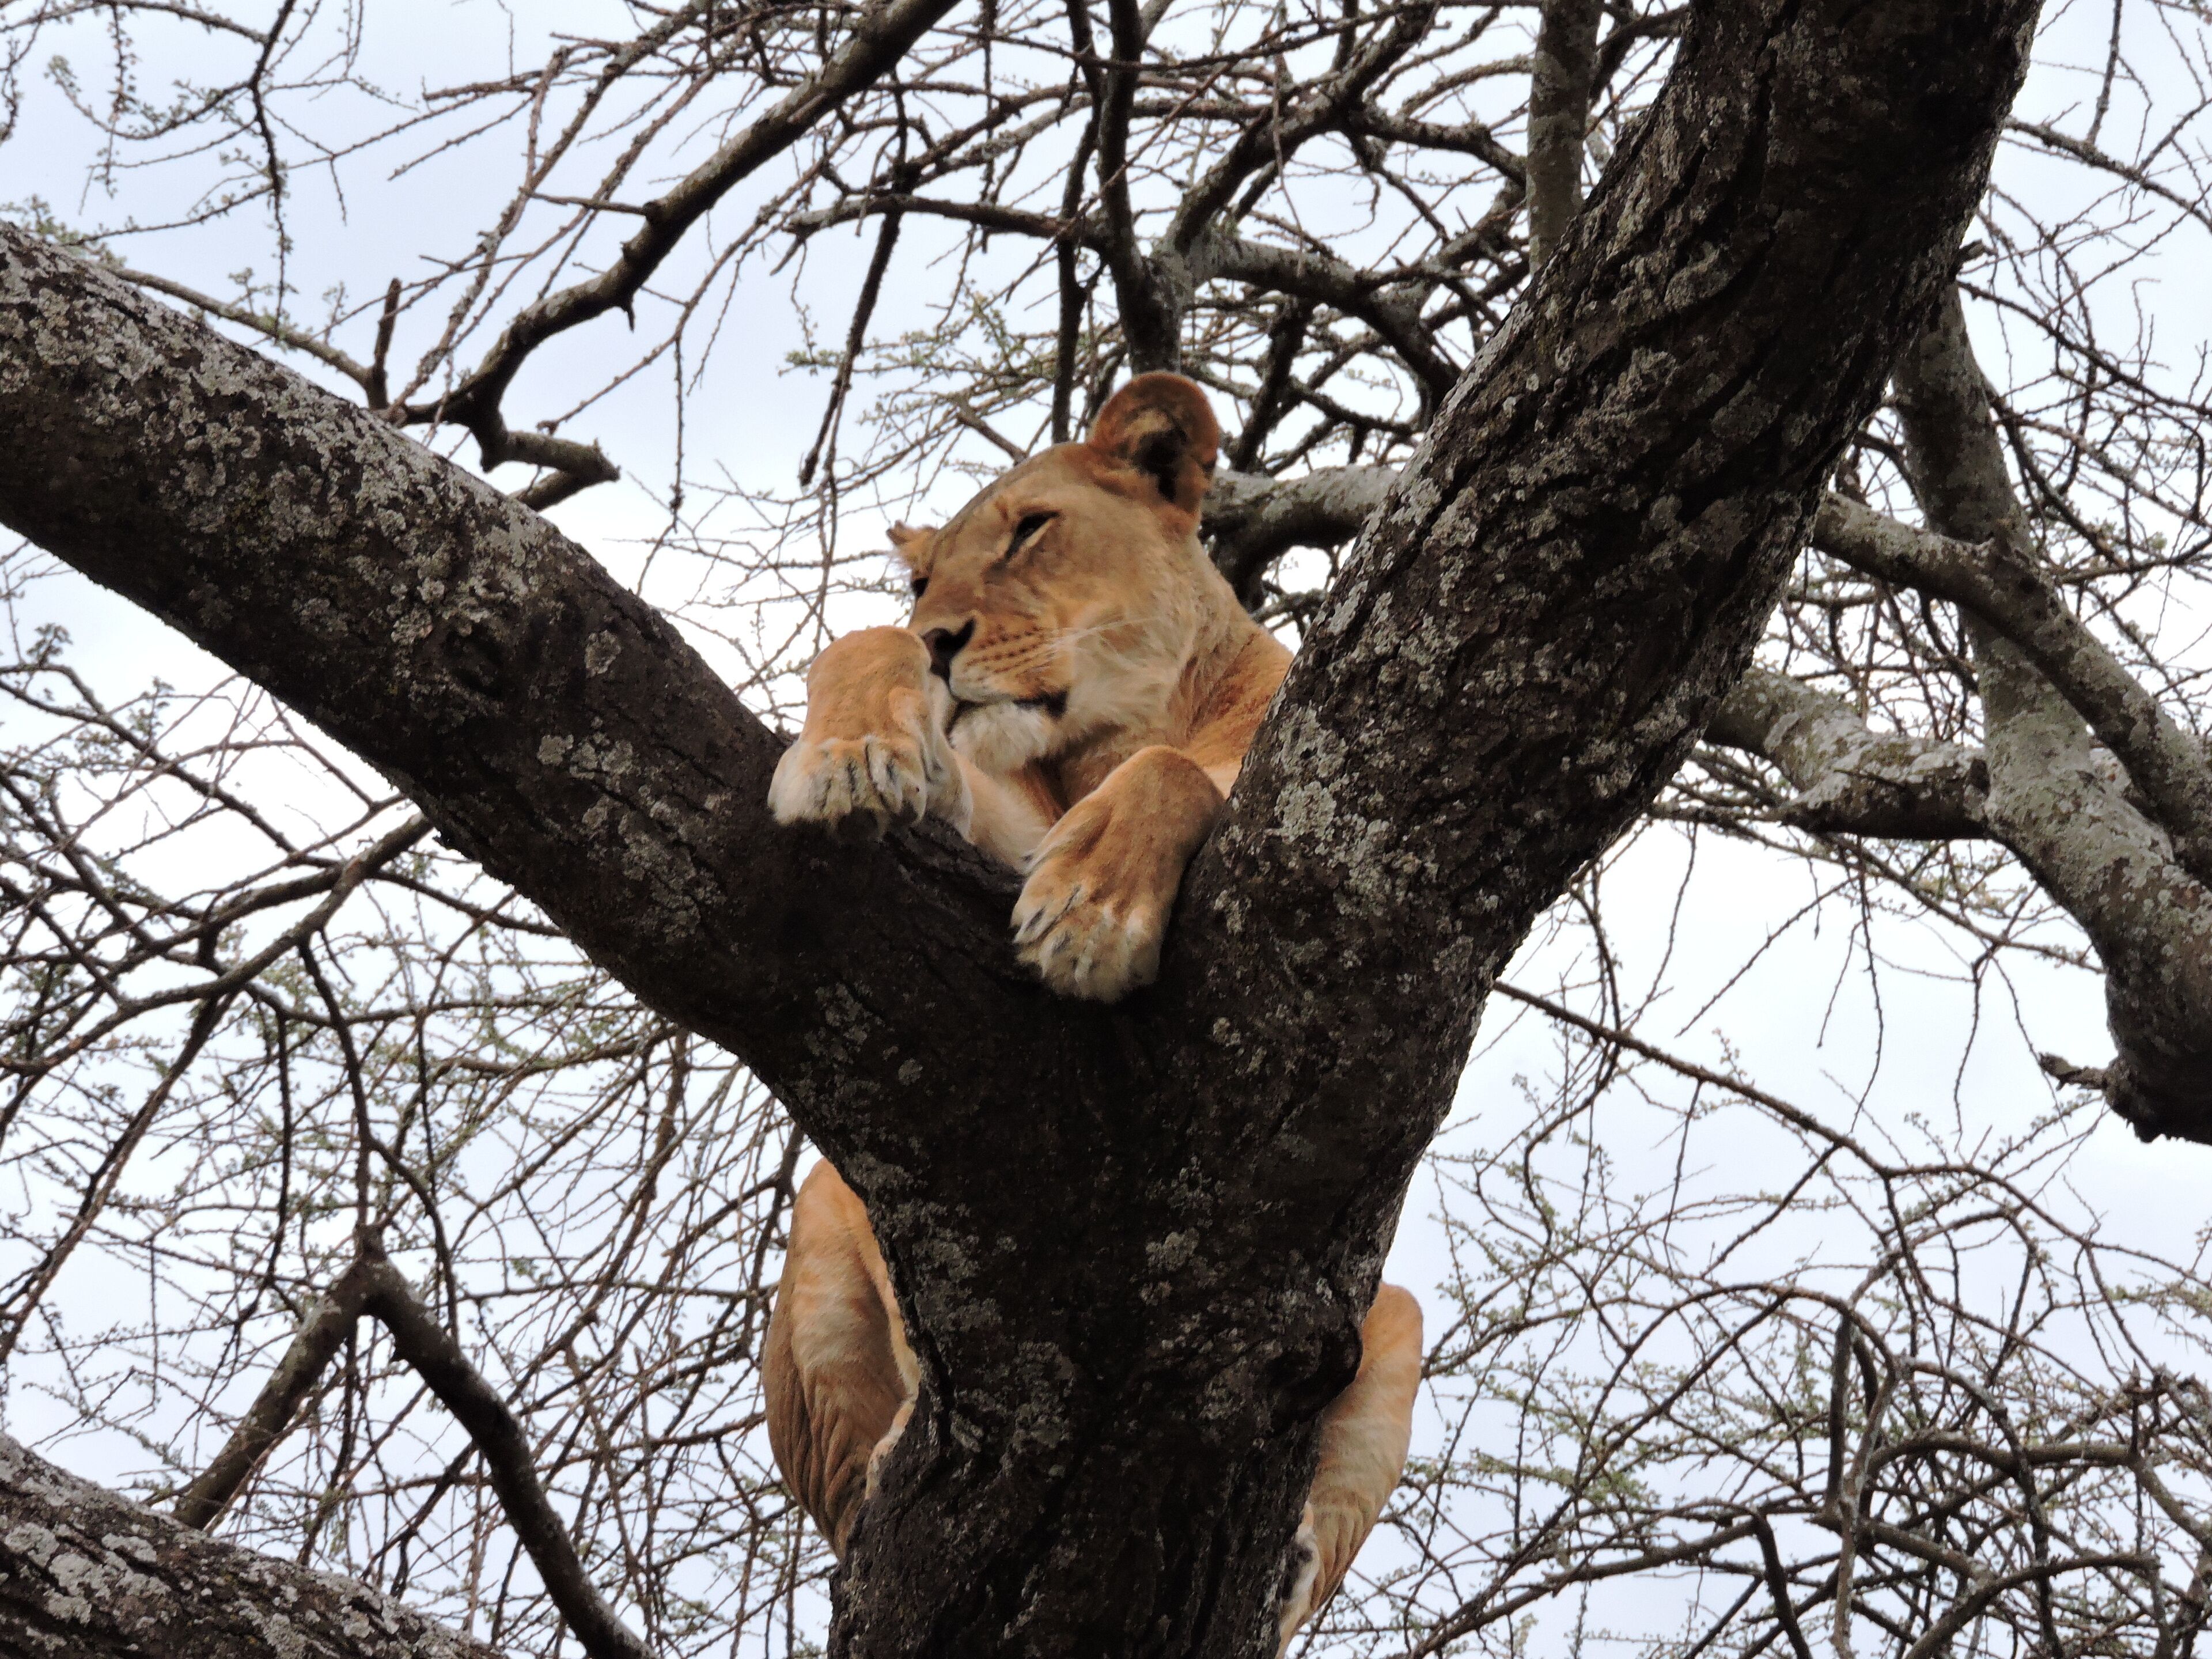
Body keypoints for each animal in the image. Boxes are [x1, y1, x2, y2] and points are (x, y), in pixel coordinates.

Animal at [764, 374, 1422, 1648]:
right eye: (921, 584)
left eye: (1030, 531)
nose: (943, 642)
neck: (1103, 737)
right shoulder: (986, 825)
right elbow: (860, 656)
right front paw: (853, 753)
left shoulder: (1296, 787)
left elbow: (1174, 783)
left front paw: (1089, 909)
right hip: (819, 1238)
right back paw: (891, 1461)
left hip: (1398, 1317)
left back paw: (1290, 1554)